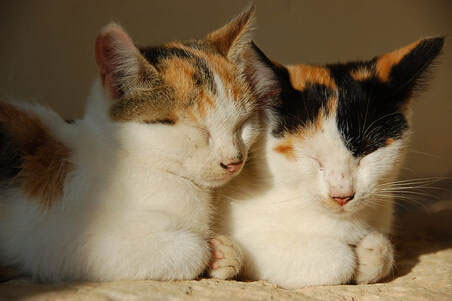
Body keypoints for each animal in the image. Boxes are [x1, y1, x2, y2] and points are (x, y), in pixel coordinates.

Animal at [0, 4, 268, 282]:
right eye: (198, 129)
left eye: (243, 124)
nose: (234, 161)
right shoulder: (59, 240)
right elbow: (193, 250)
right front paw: (207, 250)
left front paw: (224, 252)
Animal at [214, 36, 444, 288]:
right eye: (312, 156)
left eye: (366, 151)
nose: (341, 195)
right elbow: (338, 260)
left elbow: (380, 247)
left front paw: (371, 253)